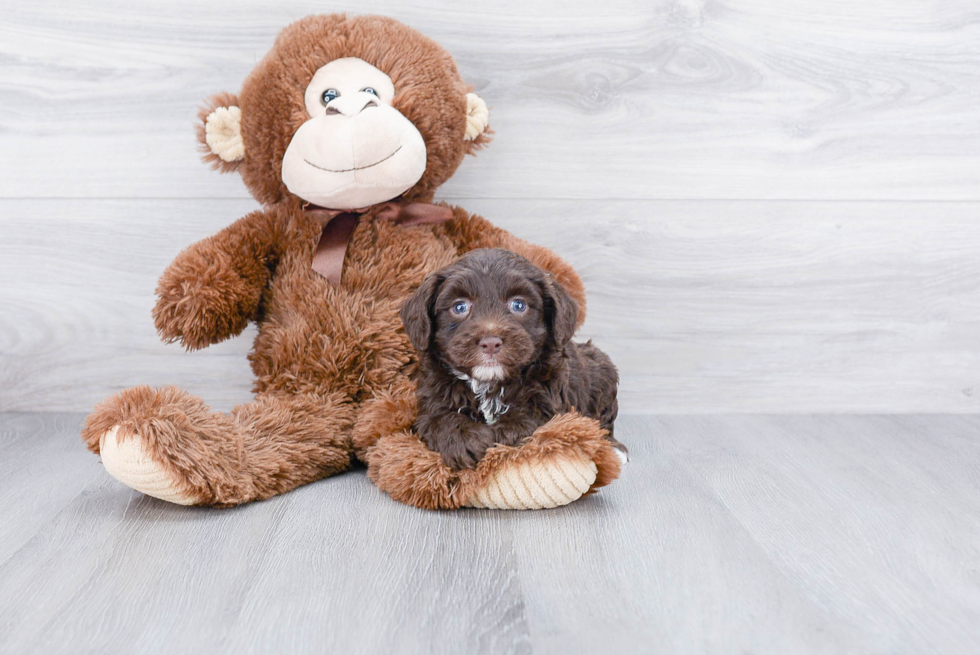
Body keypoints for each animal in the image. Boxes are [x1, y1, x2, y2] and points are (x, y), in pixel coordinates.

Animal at [400, 249, 624, 468]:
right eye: (459, 307)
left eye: (518, 305)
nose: (490, 343)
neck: (489, 384)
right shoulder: (432, 393)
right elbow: (438, 417)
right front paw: (463, 439)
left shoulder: (550, 395)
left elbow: (531, 417)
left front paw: (503, 434)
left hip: (603, 372)